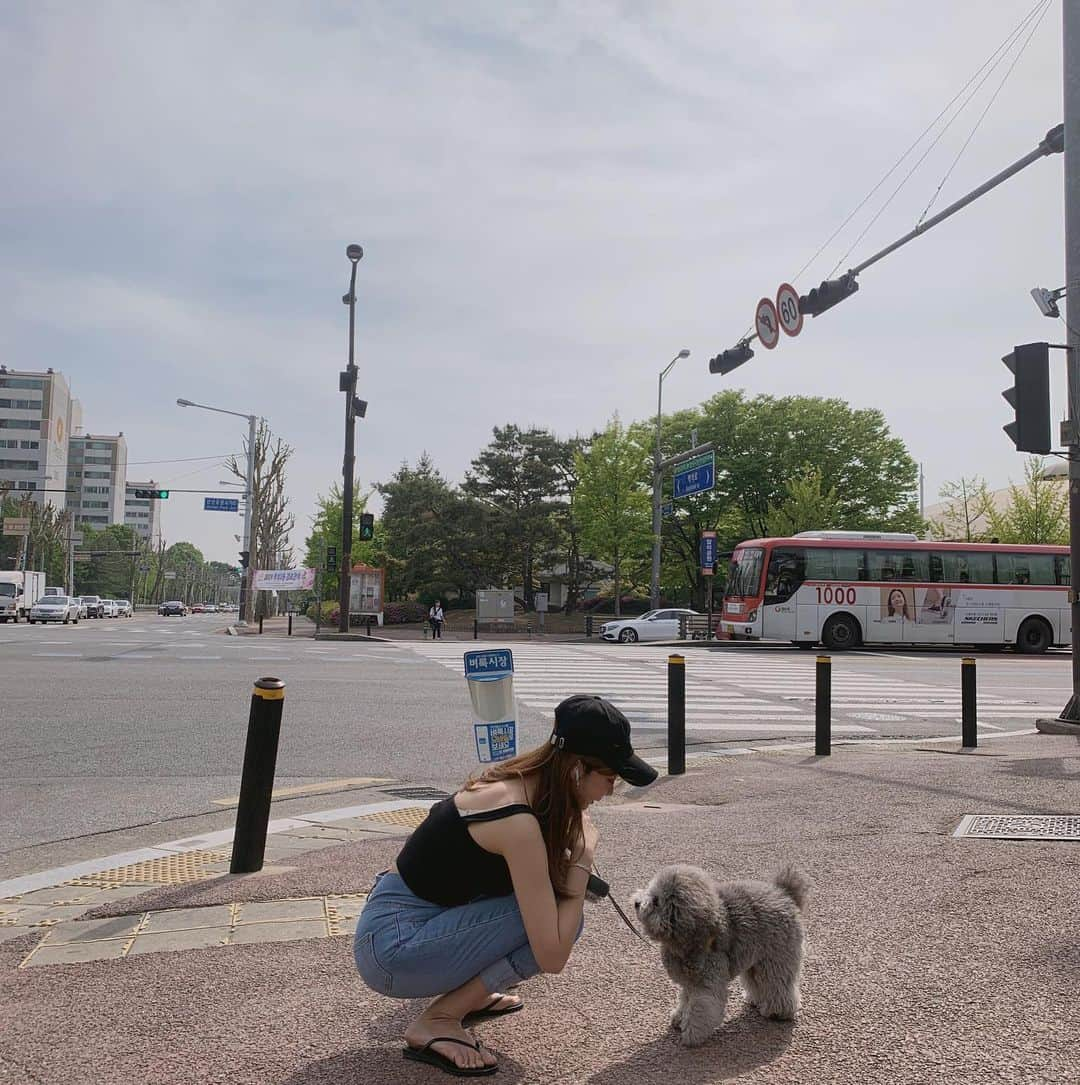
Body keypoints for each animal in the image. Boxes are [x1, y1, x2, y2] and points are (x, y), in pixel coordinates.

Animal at [633, 863, 811, 1041]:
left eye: (656, 901)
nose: (636, 902)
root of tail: (784, 893)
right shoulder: (690, 981)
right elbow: (685, 1000)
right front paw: (680, 1019)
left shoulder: (707, 981)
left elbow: (700, 1007)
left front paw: (692, 1034)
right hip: (755, 958)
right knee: (758, 980)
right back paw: (758, 1000)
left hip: (777, 958)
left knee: (778, 983)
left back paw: (778, 1012)